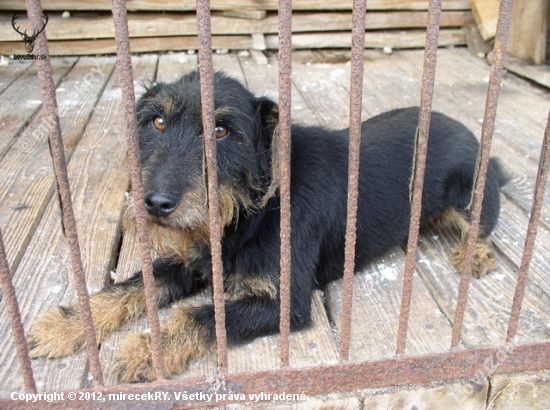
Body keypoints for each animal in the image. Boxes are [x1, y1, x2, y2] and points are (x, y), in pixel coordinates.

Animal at [27, 69, 508, 382]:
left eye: (221, 131)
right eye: (157, 121)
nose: (156, 204)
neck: (250, 212)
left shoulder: (285, 300)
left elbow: (202, 316)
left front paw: (147, 350)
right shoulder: (193, 259)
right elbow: (131, 285)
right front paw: (67, 325)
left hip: (468, 194)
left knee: (484, 224)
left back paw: (475, 256)